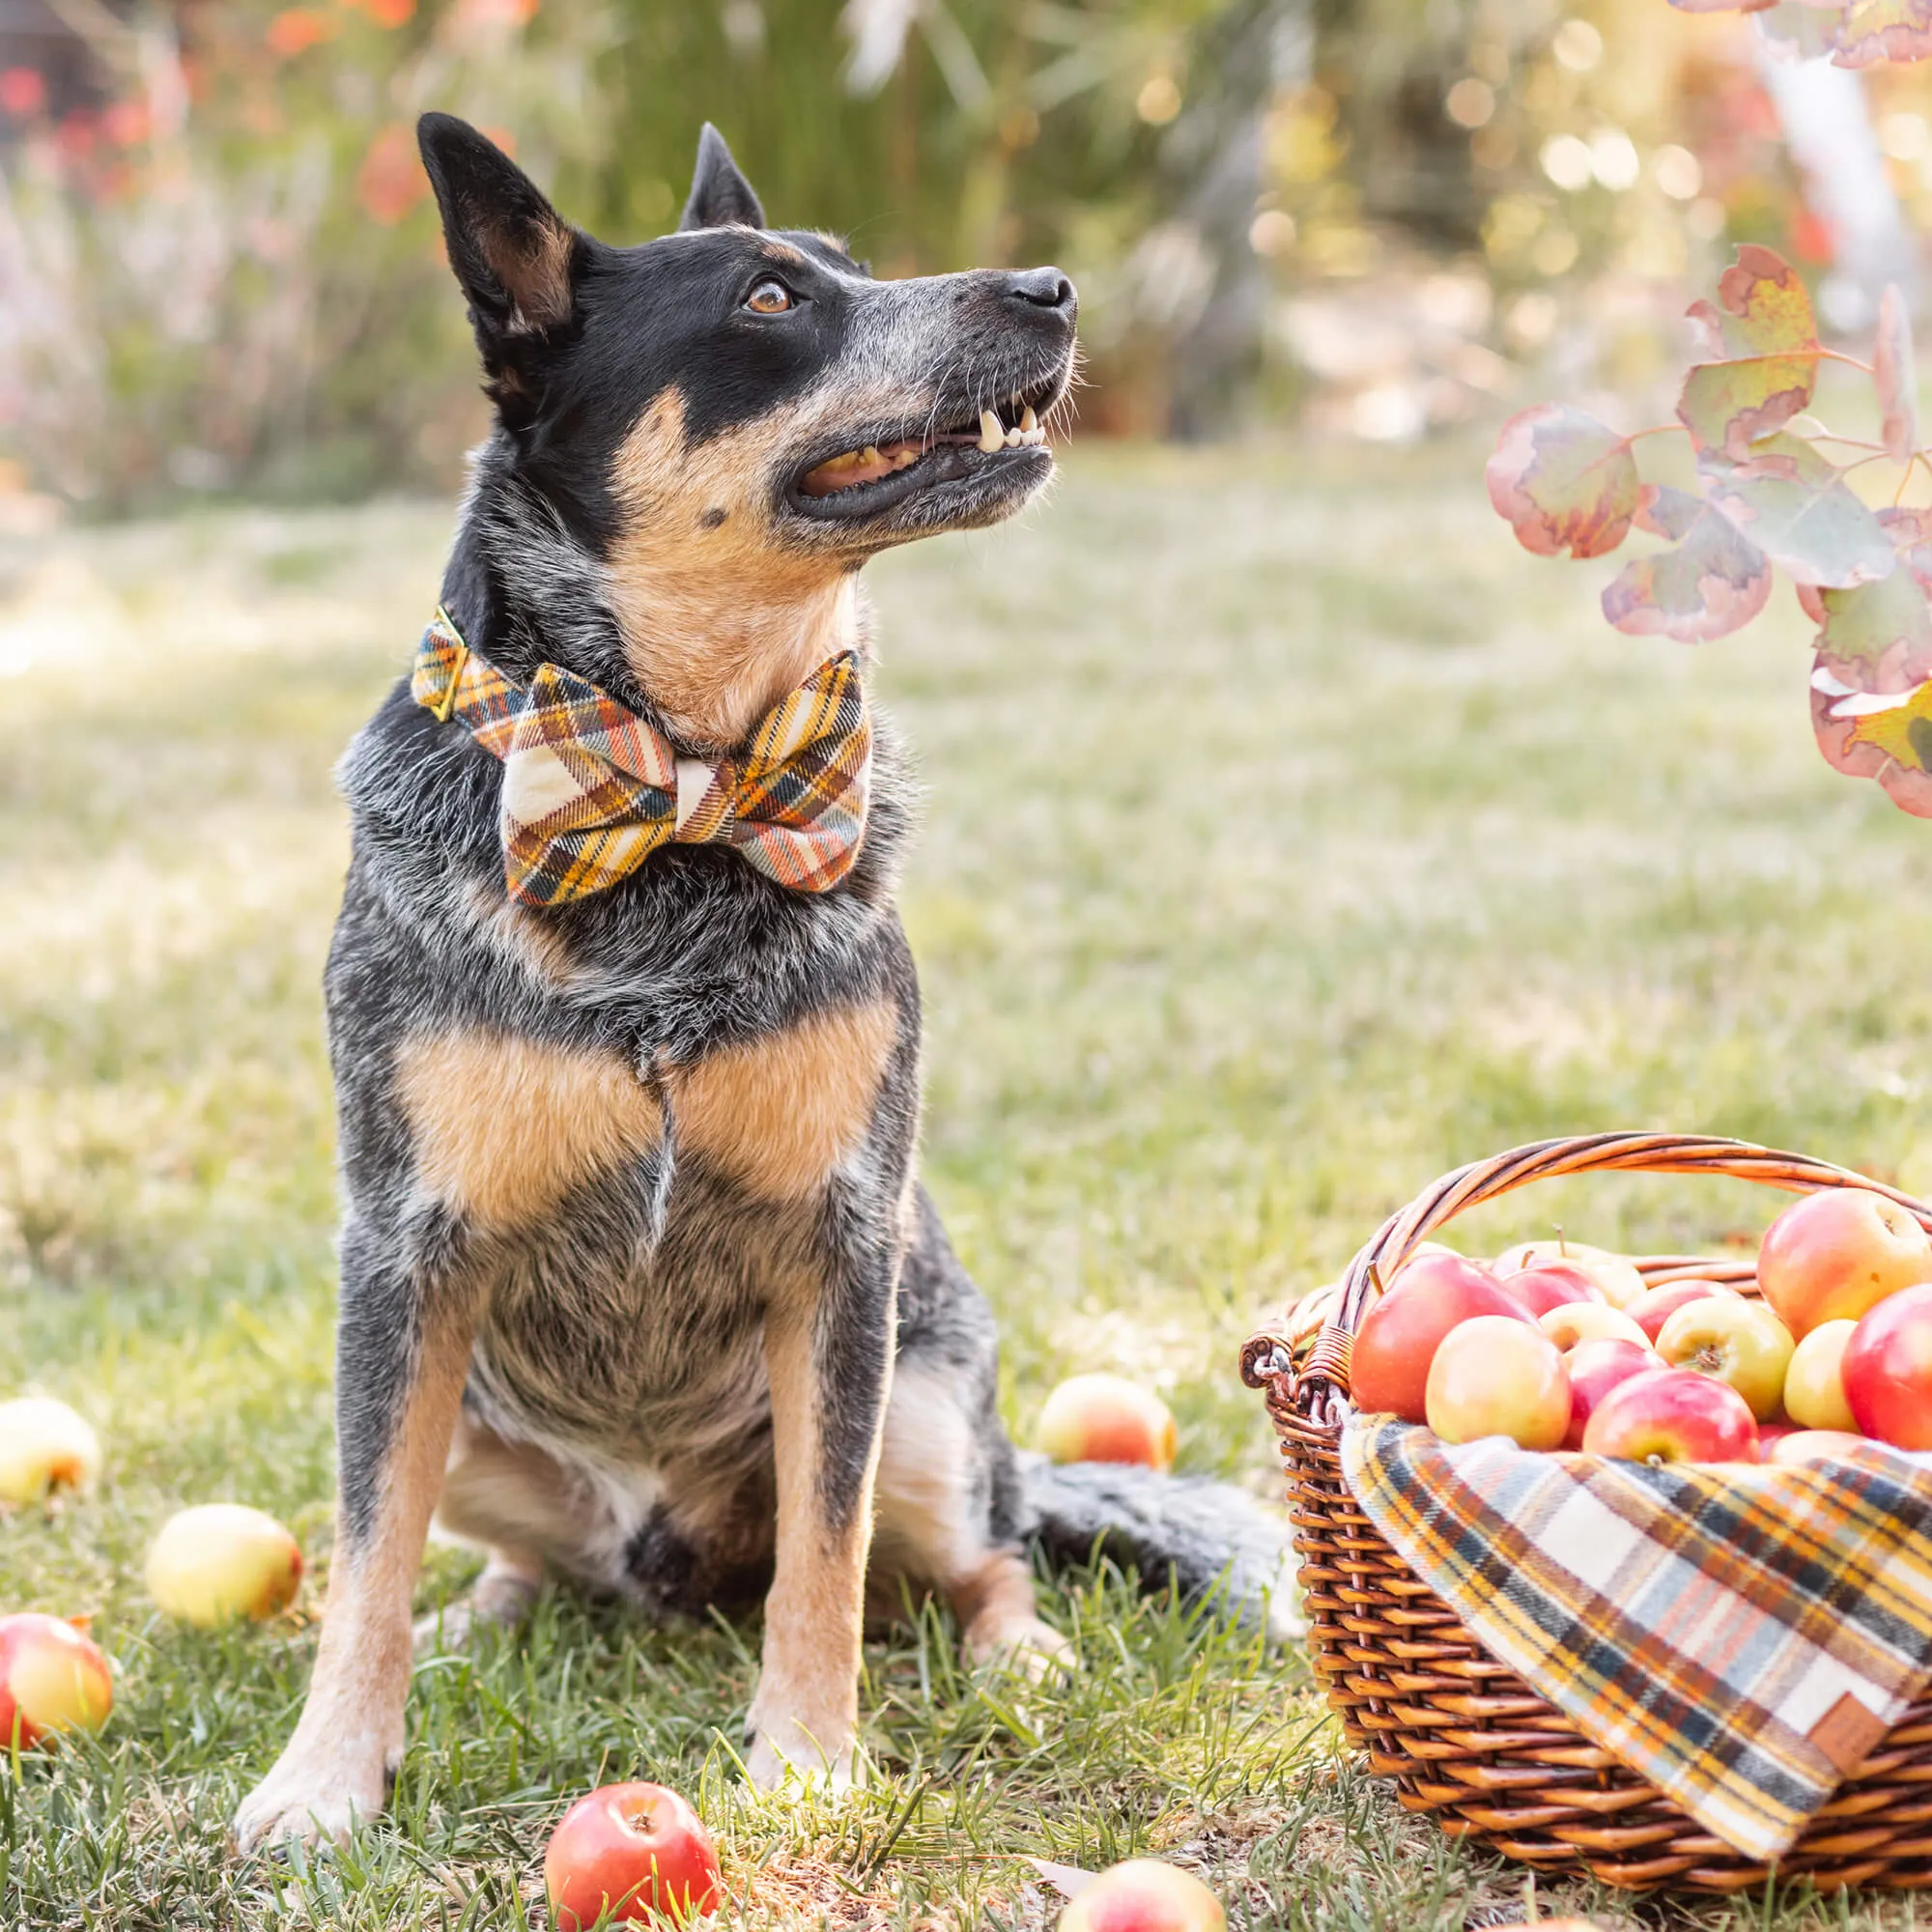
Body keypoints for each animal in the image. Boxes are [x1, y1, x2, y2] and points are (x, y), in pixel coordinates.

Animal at [230, 109, 1298, 1855]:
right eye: (772, 298)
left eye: (857, 263)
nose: (1052, 285)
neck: (679, 791)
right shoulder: (400, 1256)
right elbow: (368, 1553)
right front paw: (326, 1778)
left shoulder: (843, 1250)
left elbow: (826, 1550)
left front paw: (808, 1762)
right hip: (466, 1415)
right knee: (507, 1554)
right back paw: (484, 1617)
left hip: (934, 1397)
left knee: (984, 1544)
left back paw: (1023, 1654)